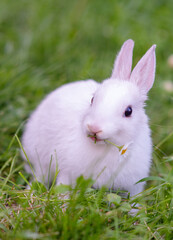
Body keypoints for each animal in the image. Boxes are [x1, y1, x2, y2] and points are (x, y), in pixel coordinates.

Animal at [21, 39, 155, 197]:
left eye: (128, 111)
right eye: (92, 99)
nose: (94, 128)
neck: (108, 148)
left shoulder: (133, 187)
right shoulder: (67, 173)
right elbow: (62, 188)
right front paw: (62, 202)